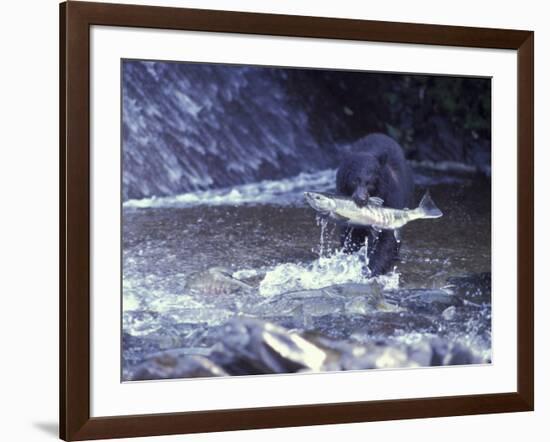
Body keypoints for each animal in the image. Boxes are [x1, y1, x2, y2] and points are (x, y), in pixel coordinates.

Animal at [336, 132, 414, 276]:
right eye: (354, 181)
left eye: (370, 183)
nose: (361, 199)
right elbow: (350, 234)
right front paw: (352, 259)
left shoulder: (391, 197)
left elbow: (386, 236)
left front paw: (372, 268)